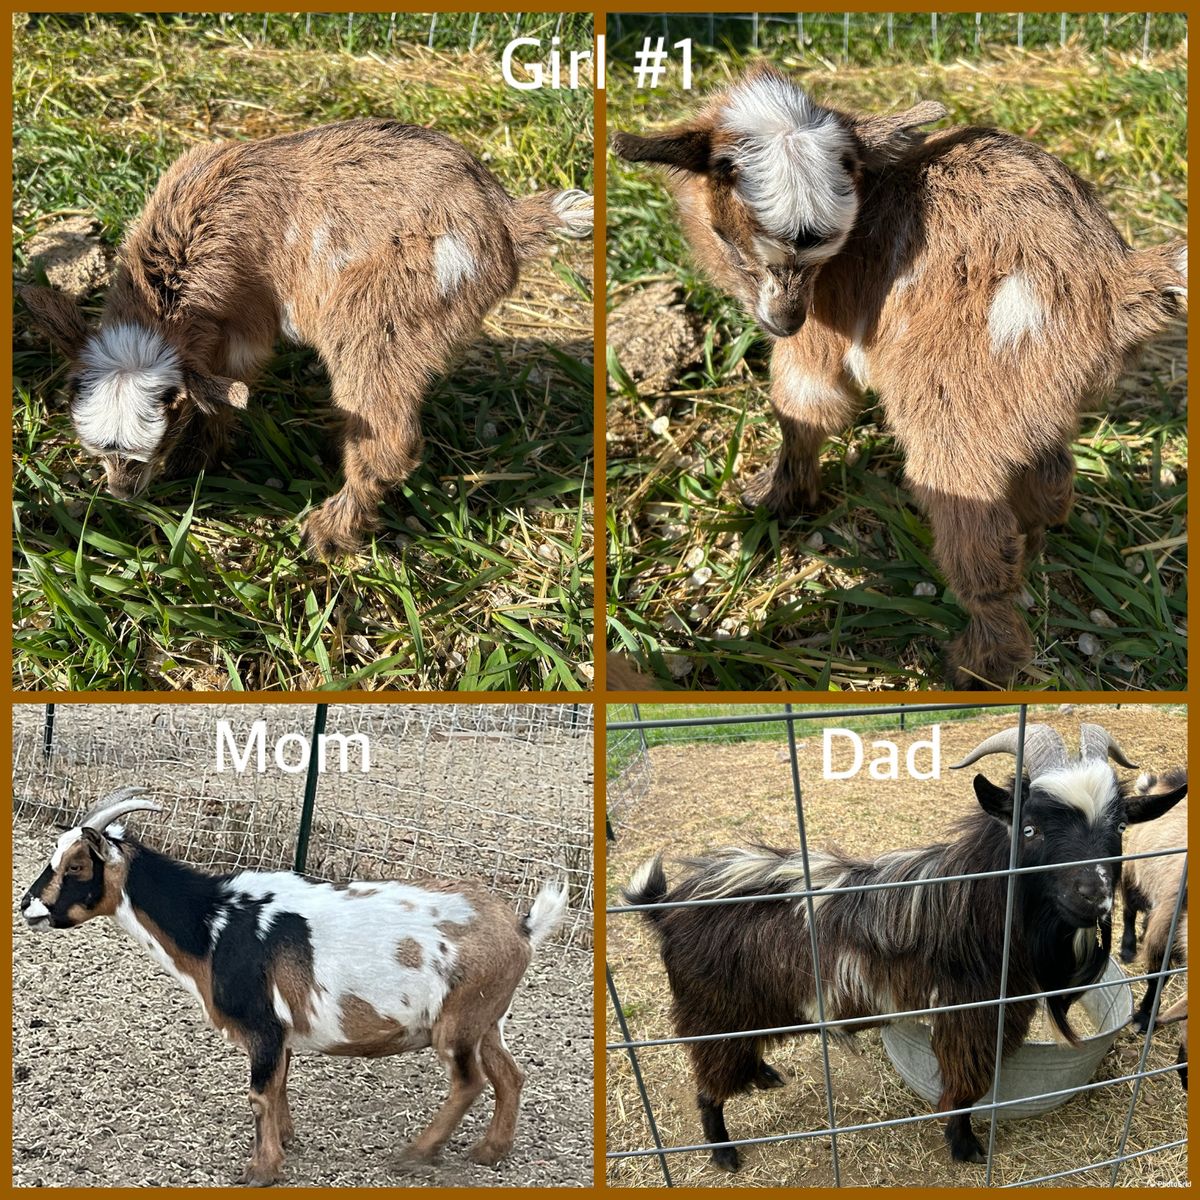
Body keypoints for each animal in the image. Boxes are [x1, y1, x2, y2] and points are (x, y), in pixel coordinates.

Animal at [19, 788, 567, 1185]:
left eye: (76, 866)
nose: (27, 906)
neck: (214, 924)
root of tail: (520, 928)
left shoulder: (261, 1025)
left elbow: (260, 1094)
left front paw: (260, 1170)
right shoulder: (278, 1033)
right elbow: (280, 1084)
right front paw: (286, 1142)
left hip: (458, 1022)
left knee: (469, 1081)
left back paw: (415, 1154)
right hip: (486, 1018)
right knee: (509, 1075)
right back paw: (489, 1152)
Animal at [21, 119, 592, 558]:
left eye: (169, 422)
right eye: (95, 448)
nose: (124, 493)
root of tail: (506, 218)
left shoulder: (245, 321)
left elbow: (230, 385)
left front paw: (196, 459)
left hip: (381, 318)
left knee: (390, 436)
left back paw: (328, 532)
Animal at [612, 64, 1186, 688]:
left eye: (817, 257)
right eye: (728, 237)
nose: (782, 320)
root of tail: (1117, 283)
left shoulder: (820, 338)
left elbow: (804, 410)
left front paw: (775, 497)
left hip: (955, 412)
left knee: (979, 538)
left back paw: (977, 665)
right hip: (1030, 399)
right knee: (1052, 476)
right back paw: (1035, 542)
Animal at [623, 723, 1185, 1169]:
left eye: (1119, 825)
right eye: (1030, 829)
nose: (1095, 896)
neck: (968, 905)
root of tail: (667, 906)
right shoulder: (968, 1018)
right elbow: (963, 1089)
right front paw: (965, 1147)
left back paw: (761, 1074)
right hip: (712, 1008)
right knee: (707, 1084)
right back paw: (723, 1153)